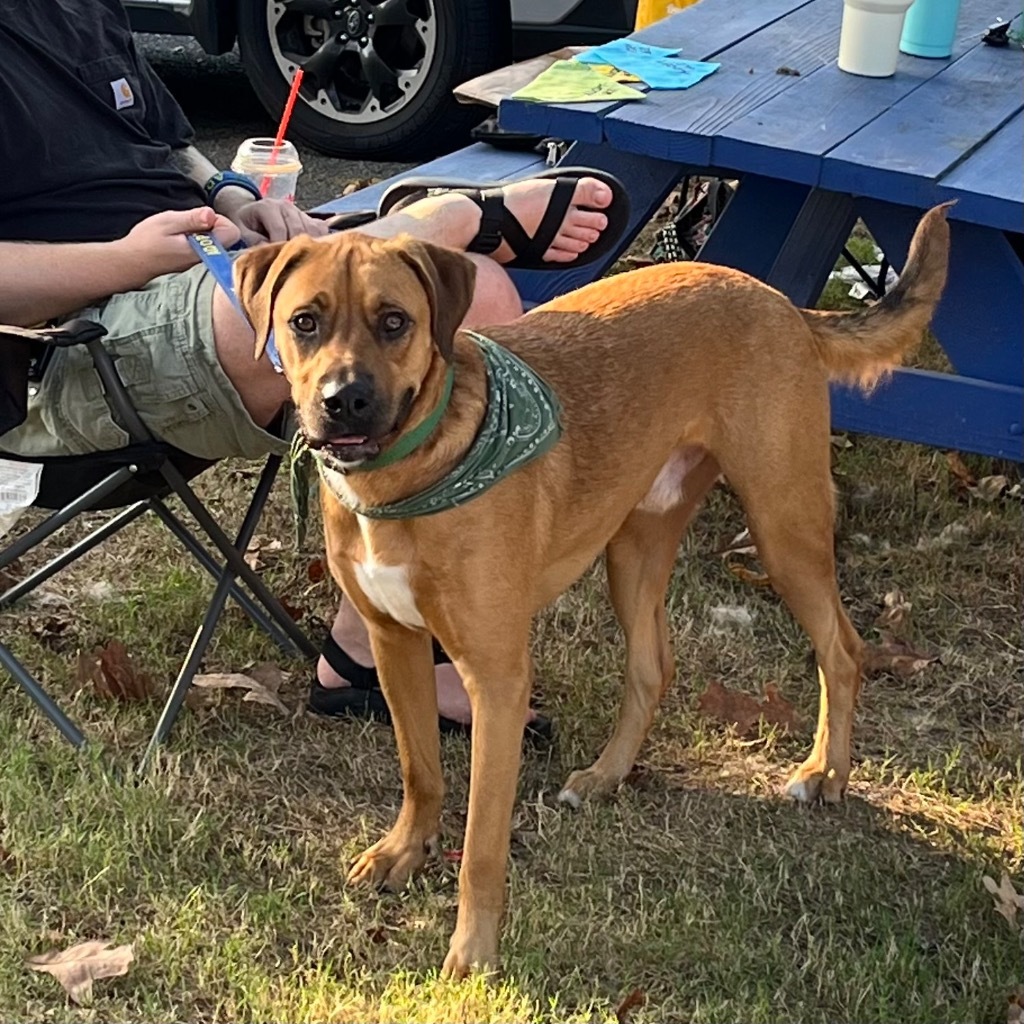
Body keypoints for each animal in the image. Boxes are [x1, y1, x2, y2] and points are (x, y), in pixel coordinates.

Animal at [234, 203, 950, 978]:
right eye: (305, 322)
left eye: (394, 321)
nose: (345, 402)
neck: (411, 476)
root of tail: (779, 301)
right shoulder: (395, 644)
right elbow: (419, 770)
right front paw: (406, 850)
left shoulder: (497, 680)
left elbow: (481, 845)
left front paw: (473, 950)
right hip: (634, 549)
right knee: (653, 667)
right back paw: (608, 775)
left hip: (783, 525)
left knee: (842, 650)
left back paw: (824, 773)